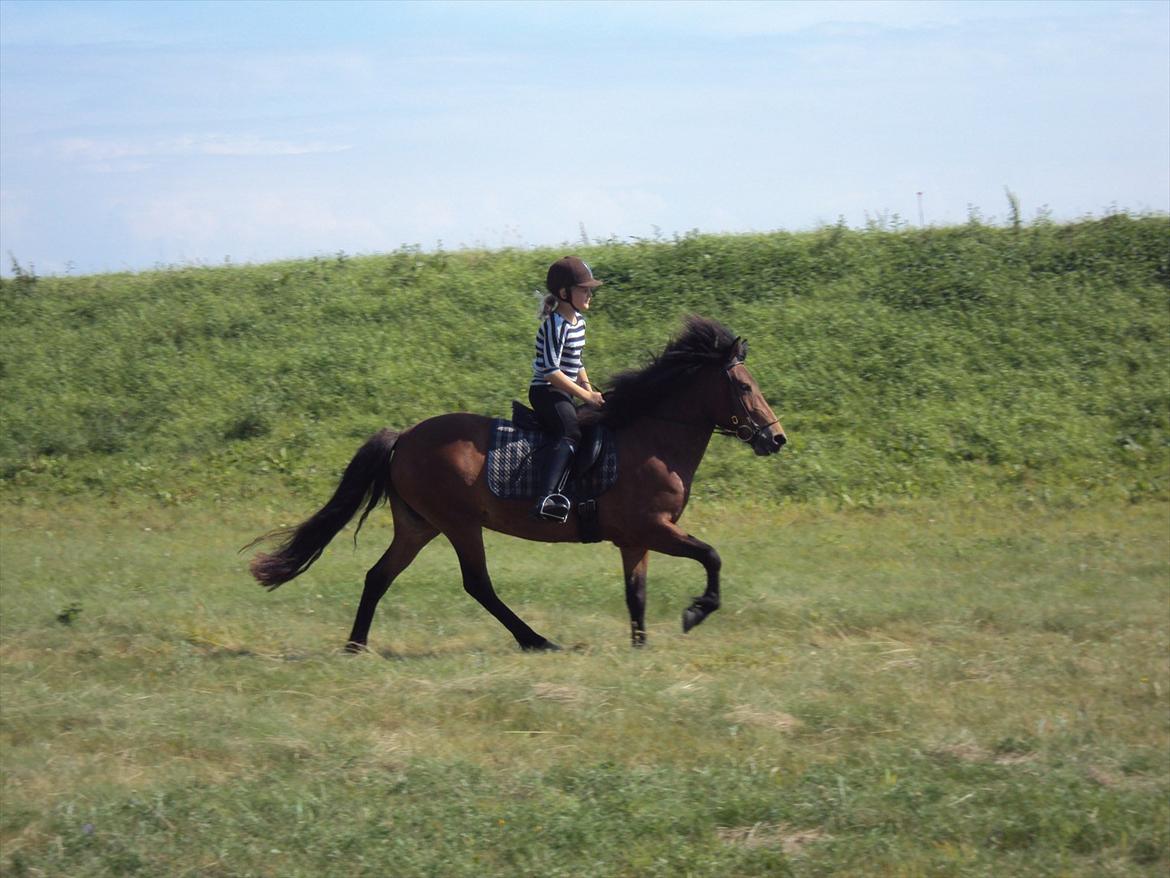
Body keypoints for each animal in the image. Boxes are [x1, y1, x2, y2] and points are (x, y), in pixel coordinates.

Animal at [251, 316, 790, 655]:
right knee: (477, 584)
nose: (776, 439)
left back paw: (356, 646)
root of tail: (403, 437)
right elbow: (711, 556)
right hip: (458, 522)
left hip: (419, 524)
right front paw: (696, 612)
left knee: (378, 577)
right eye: (744, 387)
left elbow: (635, 594)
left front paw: (641, 647)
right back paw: (535, 640)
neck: (653, 438)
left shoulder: (636, 539)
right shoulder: (652, 528)